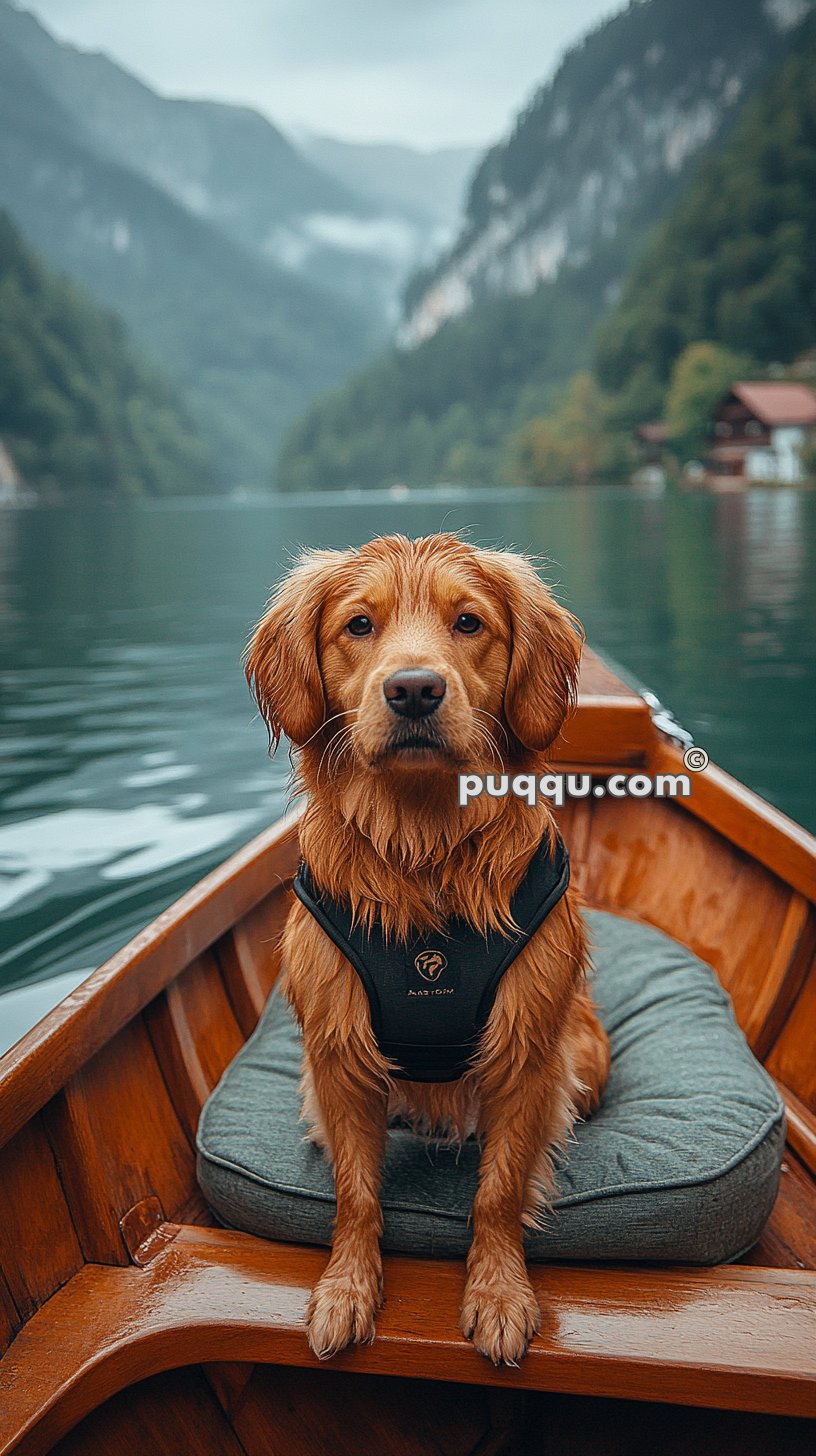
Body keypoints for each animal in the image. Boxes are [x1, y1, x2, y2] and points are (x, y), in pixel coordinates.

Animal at [244, 532, 609, 1362]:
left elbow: (499, 1192)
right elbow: (355, 1195)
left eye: (468, 621)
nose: (414, 690)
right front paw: (346, 1290)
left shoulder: (526, 1050)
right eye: (358, 625)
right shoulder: (338, 1052)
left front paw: (499, 1293)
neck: (423, 844)